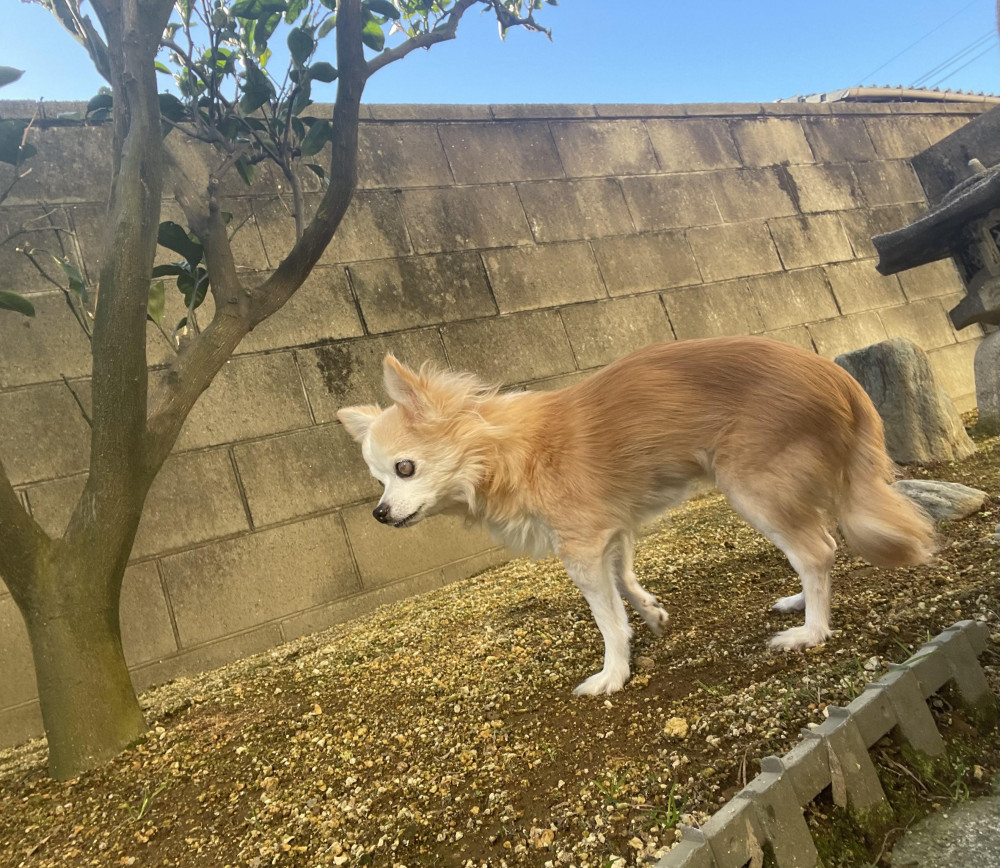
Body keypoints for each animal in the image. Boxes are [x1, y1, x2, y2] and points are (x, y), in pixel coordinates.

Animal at [338, 336, 936, 696]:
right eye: (378, 480)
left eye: (405, 468)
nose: (379, 513)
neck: (505, 448)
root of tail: (841, 381)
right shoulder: (612, 526)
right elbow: (625, 579)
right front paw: (651, 614)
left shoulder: (579, 546)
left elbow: (606, 617)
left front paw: (613, 673)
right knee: (819, 544)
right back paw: (799, 600)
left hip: (752, 487)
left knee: (817, 549)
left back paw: (810, 631)